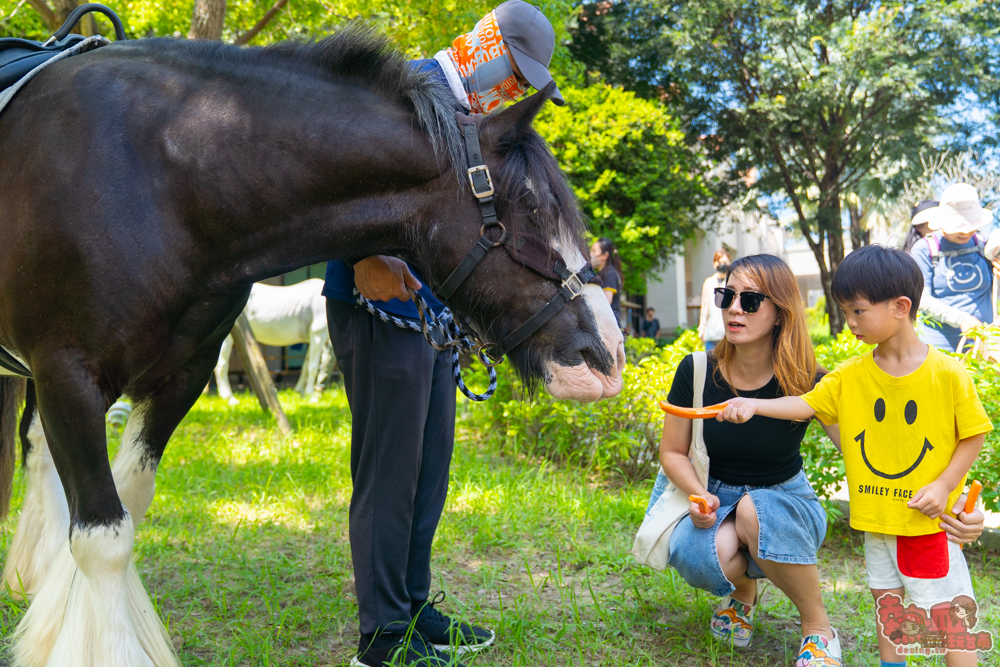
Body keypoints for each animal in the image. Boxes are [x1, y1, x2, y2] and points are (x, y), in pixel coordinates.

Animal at [0, 27, 625, 666]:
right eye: (532, 209)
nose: (609, 358)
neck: (157, 176)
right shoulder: (68, 375)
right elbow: (103, 538)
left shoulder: (180, 376)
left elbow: (128, 501)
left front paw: (54, 618)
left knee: (36, 449)